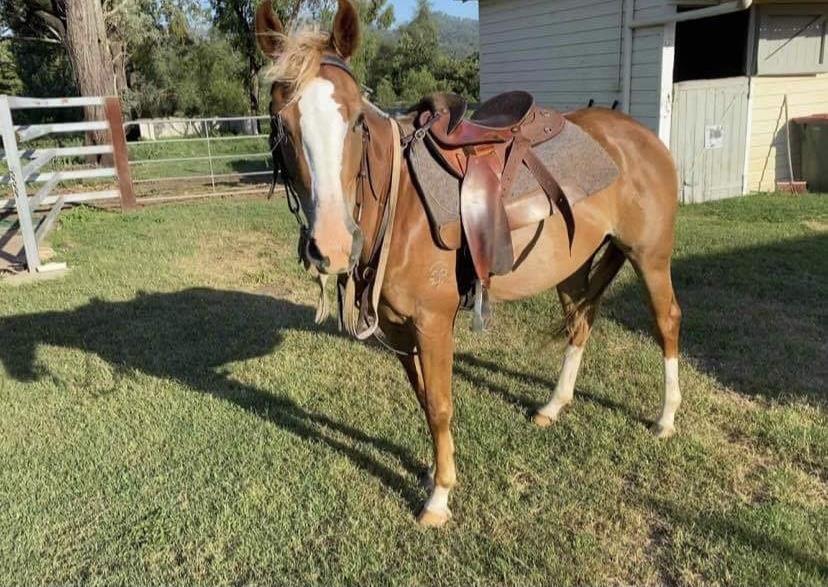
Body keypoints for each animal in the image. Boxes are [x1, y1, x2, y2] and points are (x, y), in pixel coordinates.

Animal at [255, 0, 682, 528]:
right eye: (280, 123)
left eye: (355, 121)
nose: (331, 246)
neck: (400, 205)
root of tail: (641, 136)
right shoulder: (397, 328)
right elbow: (423, 399)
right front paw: (433, 472)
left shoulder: (434, 323)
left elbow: (440, 404)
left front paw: (439, 497)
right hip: (572, 267)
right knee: (581, 322)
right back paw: (553, 406)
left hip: (651, 258)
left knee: (666, 323)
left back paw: (666, 418)